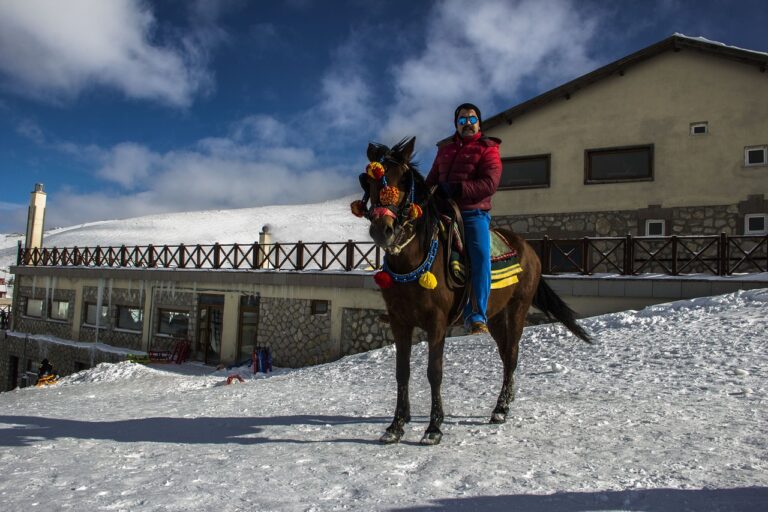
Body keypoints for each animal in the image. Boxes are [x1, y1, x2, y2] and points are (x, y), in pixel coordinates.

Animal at [356, 136, 592, 444]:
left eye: (404, 180)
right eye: (369, 182)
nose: (383, 230)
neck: (414, 261)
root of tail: (529, 249)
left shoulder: (437, 323)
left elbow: (434, 372)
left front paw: (433, 428)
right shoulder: (399, 321)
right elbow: (402, 372)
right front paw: (396, 425)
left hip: (518, 308)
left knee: (512, 354)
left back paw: (501, 409)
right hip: (494, 316)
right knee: (505, 354)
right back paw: (506, 400)